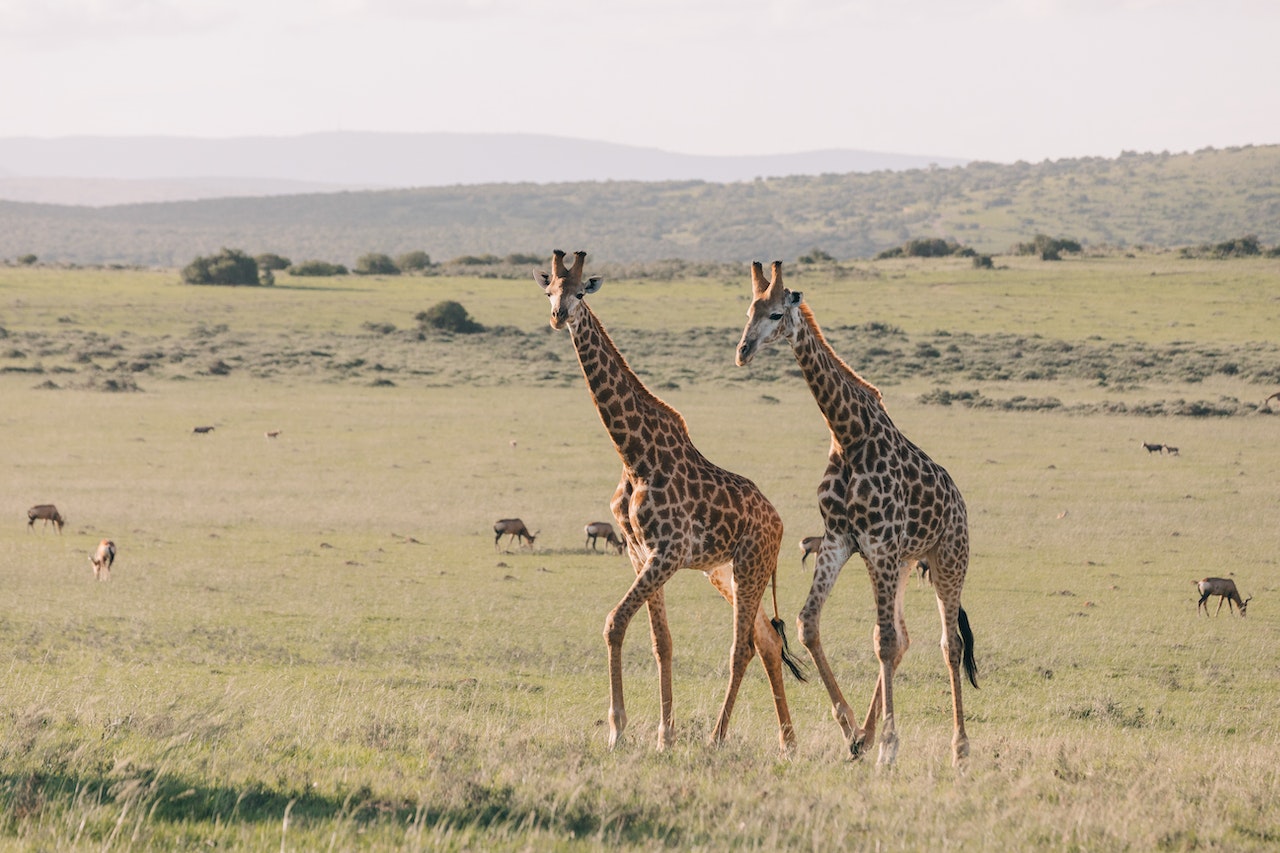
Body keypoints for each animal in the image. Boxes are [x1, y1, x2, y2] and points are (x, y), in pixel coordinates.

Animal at [535, 247, 803, 753]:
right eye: (550, 291)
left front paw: (618, 730)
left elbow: (614, 622)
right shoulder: (639, 554)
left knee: (743, 645)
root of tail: (780, 523)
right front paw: (664, 735)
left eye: (580, 293)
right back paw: (789, 741)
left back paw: (720, 738)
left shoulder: (669, 551)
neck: (633, 454)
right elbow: (663, 642)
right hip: (727, 572)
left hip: (750, 565)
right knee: (767, 641)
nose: (559, 317)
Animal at [732, 258, 977, 763]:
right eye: (748, 310)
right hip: (903, 563)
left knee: (950, 643)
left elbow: (882, 642)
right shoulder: (841, 539)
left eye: (775, 314)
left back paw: (959, 747)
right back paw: (867, 733)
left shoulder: (878, 544)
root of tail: (960, 504)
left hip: (948, 560)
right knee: (904, 638)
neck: (847, 433)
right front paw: (850, 729)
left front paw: (888, 747)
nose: (743, 352)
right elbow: (808, 624)